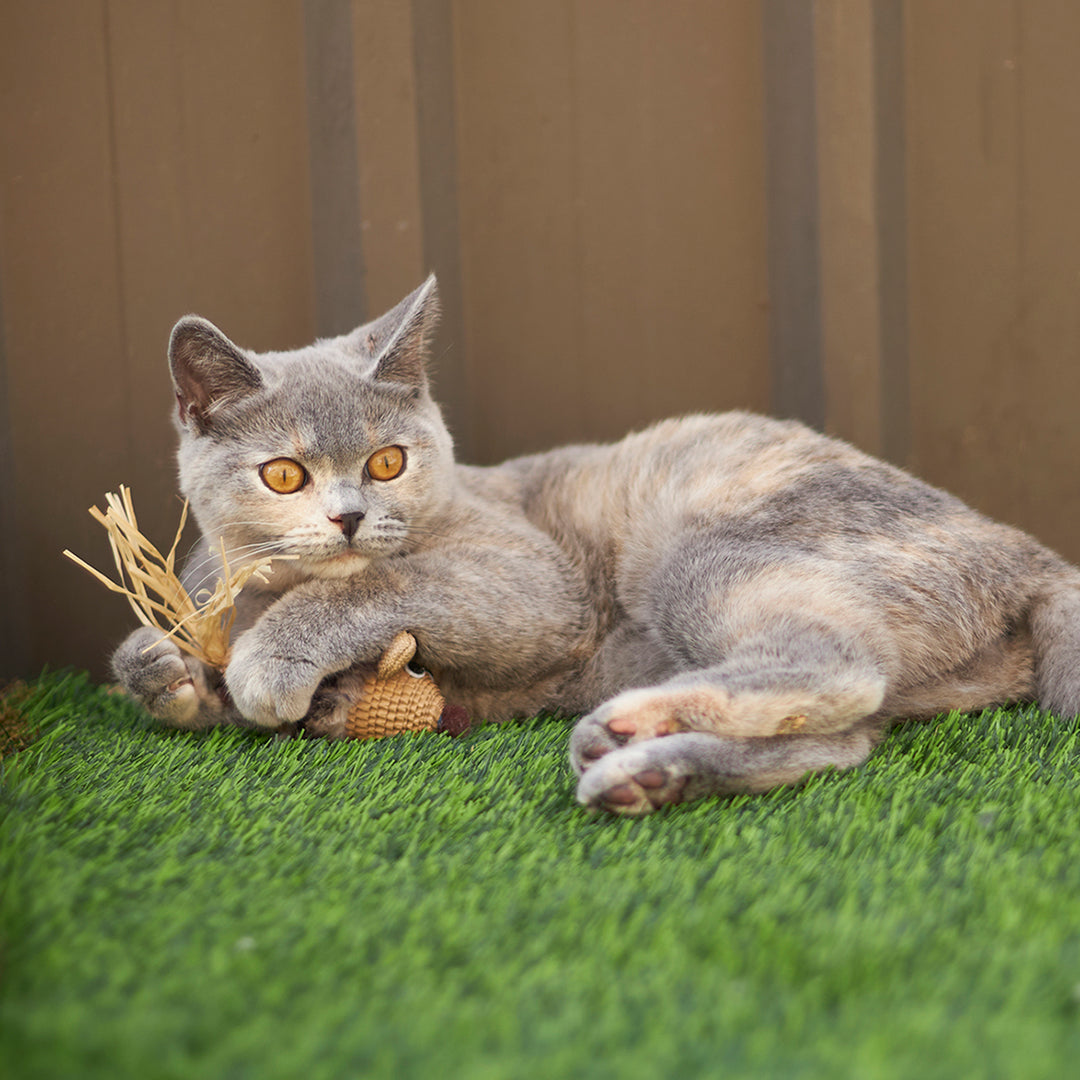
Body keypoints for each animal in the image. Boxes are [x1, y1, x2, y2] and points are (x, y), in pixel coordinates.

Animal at [109, 274, 1080, 812]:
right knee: (841, 739)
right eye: (283, 475)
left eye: (388, 462)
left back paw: (630, 725)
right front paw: (165, 671)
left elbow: (368, 586)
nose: (347, 516)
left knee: (833, 668)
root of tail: (1030, 553)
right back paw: (646, 773)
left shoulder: (531, 580)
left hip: (704, 553)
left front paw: (272, 658)